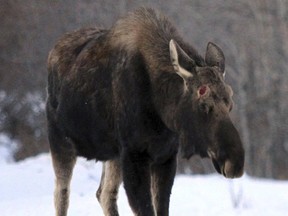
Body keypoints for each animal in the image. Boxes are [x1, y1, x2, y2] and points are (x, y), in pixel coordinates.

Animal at [46, 6, 244, 216]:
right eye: (203, 104)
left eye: (230, 103)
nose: (235, 162)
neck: (160, 109)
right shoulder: (135, 155)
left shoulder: (165, 156)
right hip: (61, 141)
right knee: (62, 194)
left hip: (113, 155)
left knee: (105, 193)